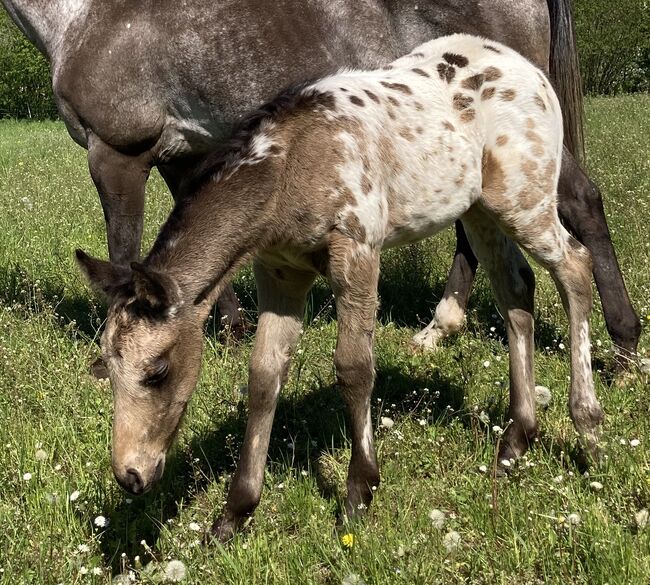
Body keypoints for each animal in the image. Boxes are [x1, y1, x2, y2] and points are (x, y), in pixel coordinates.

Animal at [0, 0, 636, 360]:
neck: (86, 16)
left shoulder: (117, 153)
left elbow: (125, 247)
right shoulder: (185, 154)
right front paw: (228, 329)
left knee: (581, 202)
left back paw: (624, 341)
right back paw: (440, 330)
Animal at [77, 34, 604, 540]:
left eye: (158, 371)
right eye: (106, 368)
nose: (130, 476)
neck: (292, 167)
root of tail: (533, 71)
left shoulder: (358, 253)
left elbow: (353, 367)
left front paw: (358, 492)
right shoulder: (280, 276)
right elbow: (264, 376)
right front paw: (235, 513)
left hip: (524, 202)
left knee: (576, 269)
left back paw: (588, 427)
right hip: (480, 211)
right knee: (516, 290)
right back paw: (516, 441)